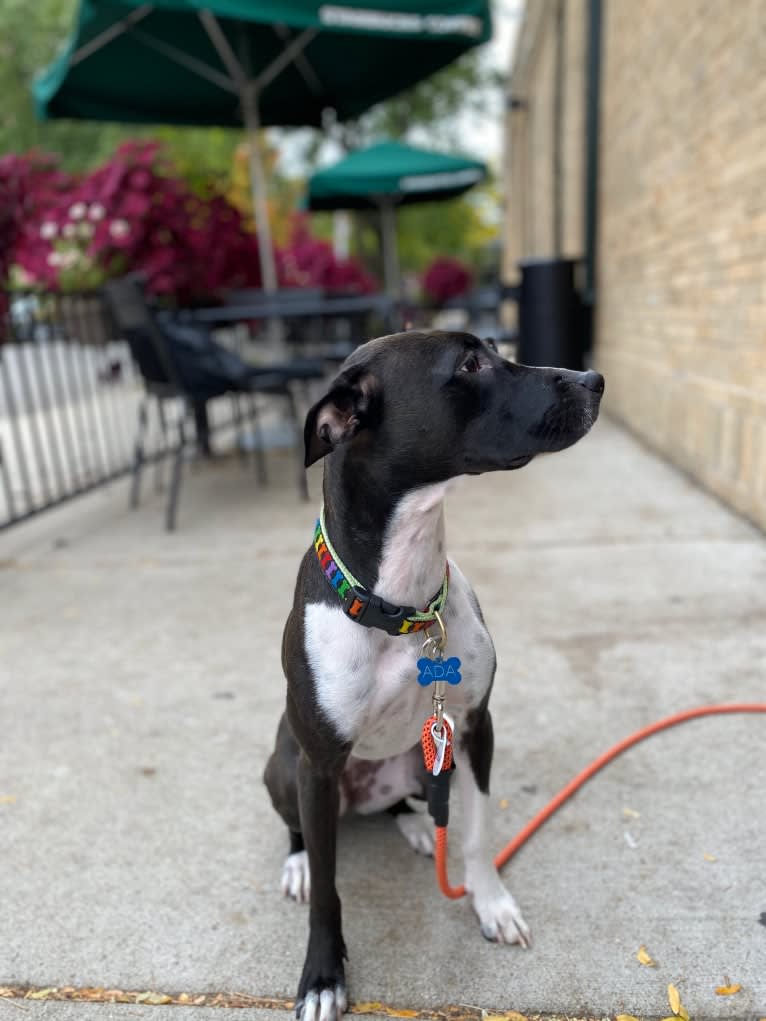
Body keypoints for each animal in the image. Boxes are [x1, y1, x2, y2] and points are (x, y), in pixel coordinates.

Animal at [263, 330, 604, 1016]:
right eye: (469, 365)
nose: (595, 380)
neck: (403, 607)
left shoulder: (473, 728)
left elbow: (475, 834)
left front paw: (491, 903)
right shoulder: (319, 764)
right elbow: (330, 893)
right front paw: (322, 976)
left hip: (427, 761)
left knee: (412, 805)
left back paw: (419, 825)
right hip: (286, 770)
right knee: (299, 831)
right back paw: (299, 863)